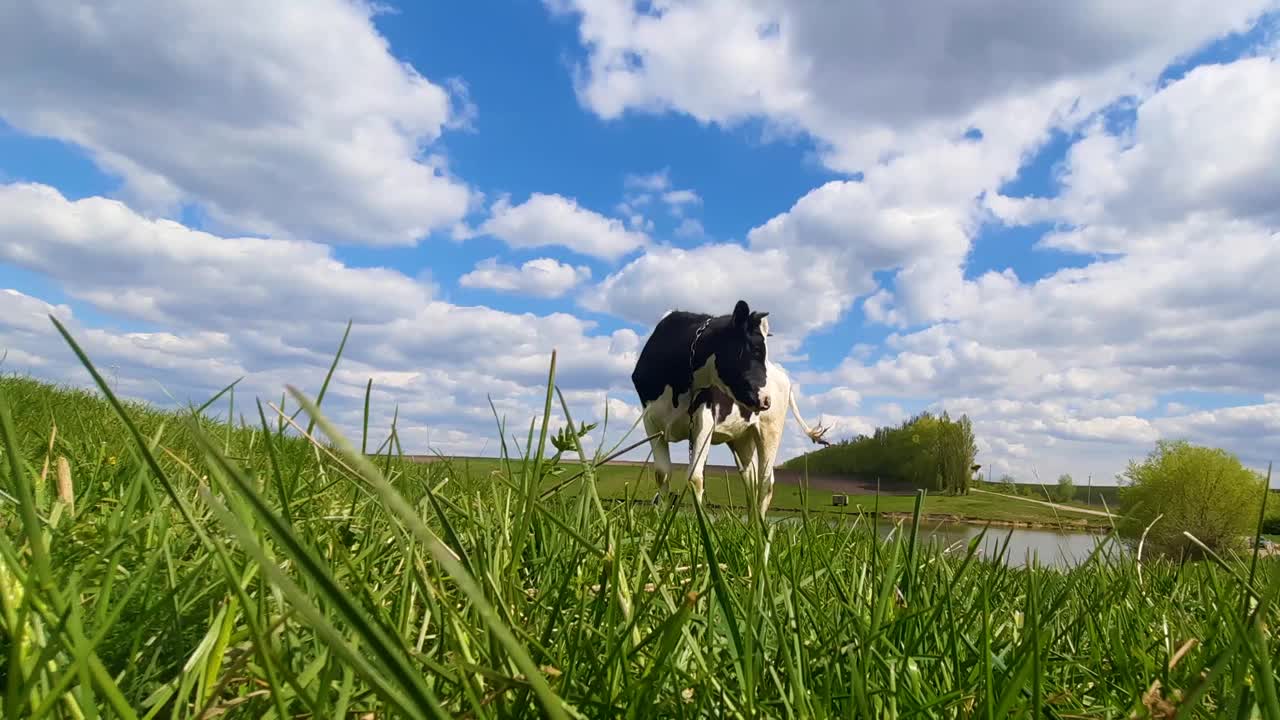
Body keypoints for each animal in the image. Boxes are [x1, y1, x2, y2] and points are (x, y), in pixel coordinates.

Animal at [629, 298, 829, 515]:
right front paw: (661, 518)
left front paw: (701, 521)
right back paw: (752, 523)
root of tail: (783, 376)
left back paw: (761, 524)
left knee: (766, 482)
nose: (767, 400)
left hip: (770, 430)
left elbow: (695, 477)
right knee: (751, 480)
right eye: (756, 349)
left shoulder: (704, 420)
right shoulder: (650, 420)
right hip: (742, 438)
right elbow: (662, 474)